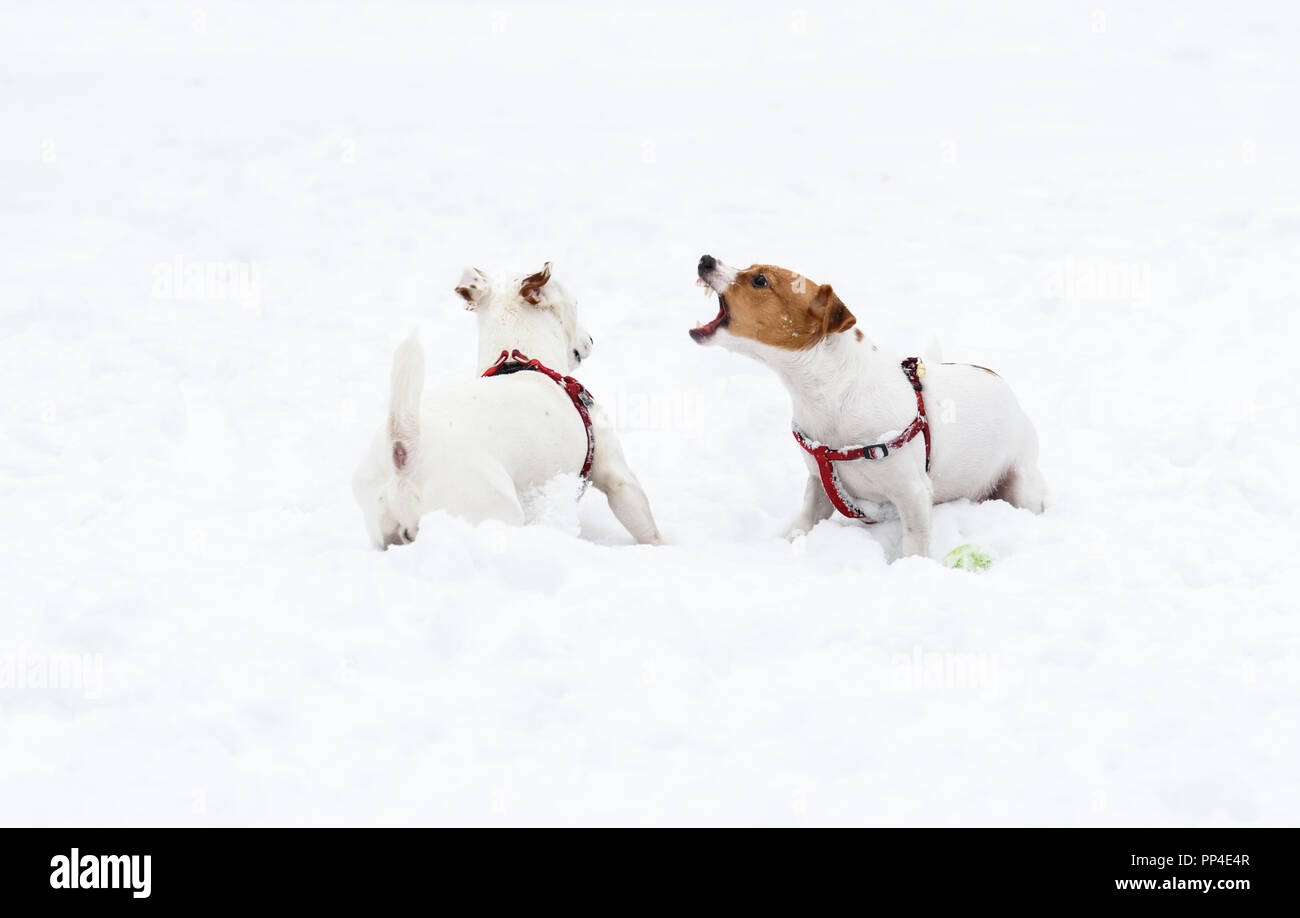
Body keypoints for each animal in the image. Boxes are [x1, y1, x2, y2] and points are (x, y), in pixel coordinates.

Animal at [351, 265, 660, 551]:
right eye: (576, 303)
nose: (591, 340)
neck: (517, 360)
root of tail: (405, 450)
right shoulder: (617, 476)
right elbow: (646, 527)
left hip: (383, 529)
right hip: (493, 507)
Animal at [691, 252, 1045, 556]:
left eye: (760, 280)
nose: (705, 258)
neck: (830, 394)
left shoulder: (913, 493)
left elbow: (915, 543)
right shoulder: (821, 484)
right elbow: (804, 522)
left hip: (1021, 484)